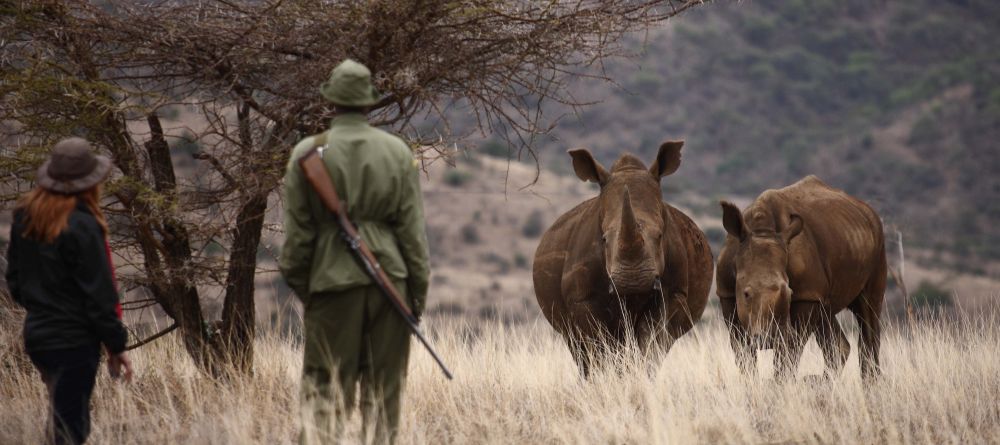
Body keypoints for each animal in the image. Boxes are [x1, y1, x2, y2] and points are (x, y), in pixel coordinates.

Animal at [536, 140, 716, 374]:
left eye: (660, 235)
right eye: (603, 239)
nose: (633, 281)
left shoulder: (673, 294)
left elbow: (650, 344)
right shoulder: (582, 299)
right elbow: (599, 347)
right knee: (579, 347)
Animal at [716, 175, 888, 380]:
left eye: (789, 294)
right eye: (746, 294)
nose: (767, 339)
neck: (762, 231)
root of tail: (867, 210)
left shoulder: (805, 295)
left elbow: (788, 353)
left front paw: (780, 386)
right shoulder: (726, 293)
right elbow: (743, 353)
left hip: (878, 243)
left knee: (868, 310)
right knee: (828, 317)